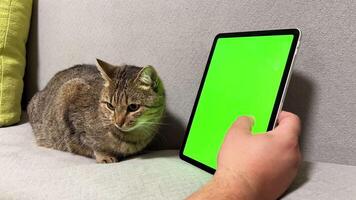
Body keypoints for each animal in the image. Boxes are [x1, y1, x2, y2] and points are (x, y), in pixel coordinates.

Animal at [27, 59, 165, 162]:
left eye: (133, 107)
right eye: (110, 106)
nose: (118, 122)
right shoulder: (70, 99)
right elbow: (90, 144)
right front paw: (104, 155)